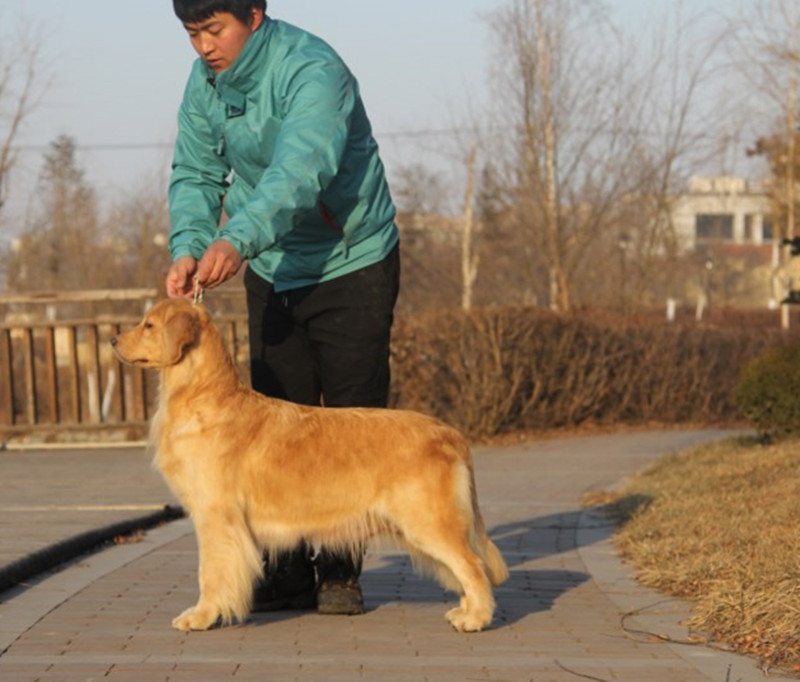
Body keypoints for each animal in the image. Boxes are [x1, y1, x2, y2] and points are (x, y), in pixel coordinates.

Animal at [110, 299, 508, 632]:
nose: (114, 339)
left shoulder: (216, 515)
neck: (203, 397)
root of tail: (450, 433)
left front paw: (202, 616)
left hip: (428, 520)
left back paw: (475, 618)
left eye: (148, 325)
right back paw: (464, 610)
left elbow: (209, 572)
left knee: (473, 566)